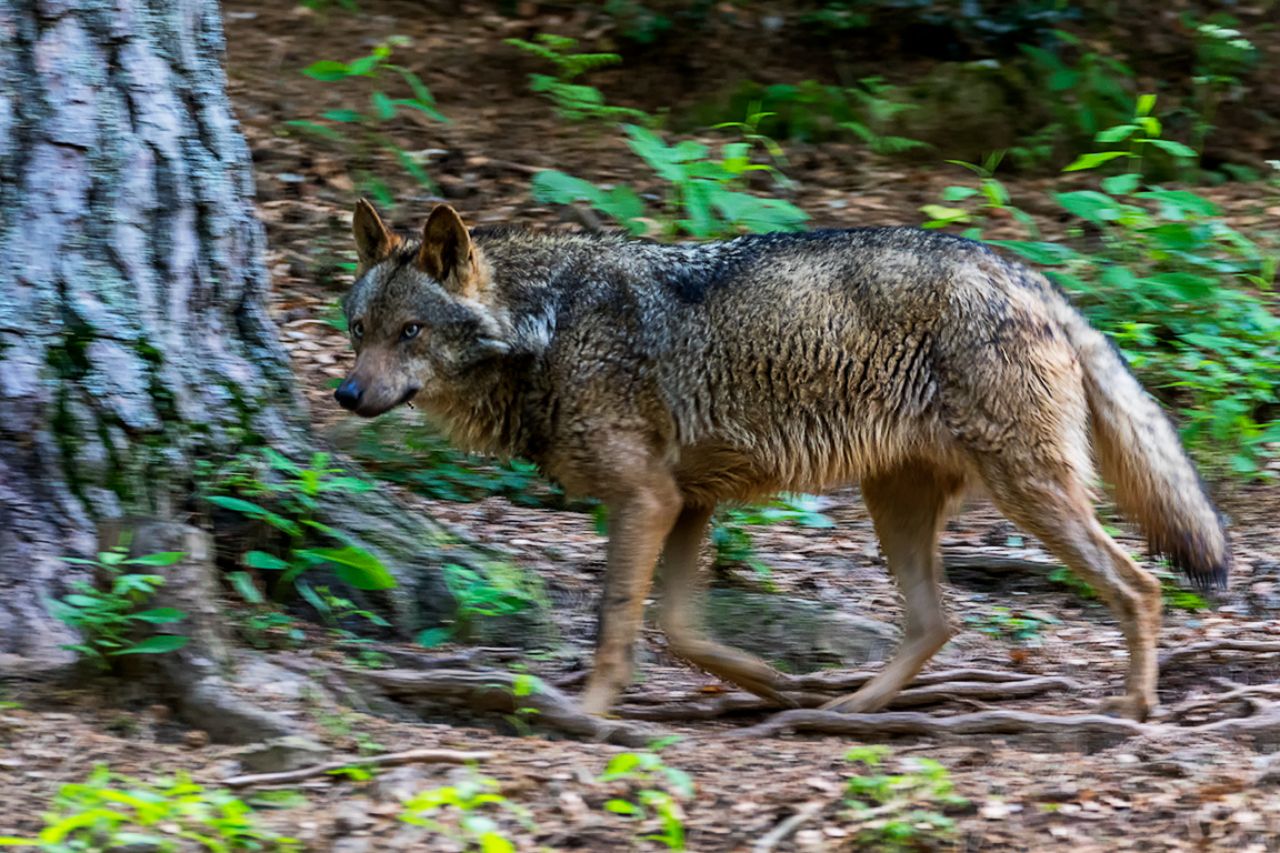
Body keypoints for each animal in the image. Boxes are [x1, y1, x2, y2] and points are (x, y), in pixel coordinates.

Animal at [336, 200, 1230, 721]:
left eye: (410, 332)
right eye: (358, 329)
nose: (346, 393)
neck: (546, 326)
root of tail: (1026, 273)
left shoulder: (646, 501)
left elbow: (617, 619)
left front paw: (588, 711)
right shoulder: (685, 504)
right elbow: (680, 627)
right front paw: (774, 682)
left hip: (1026, 494)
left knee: (1139, 585)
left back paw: (1134, 708)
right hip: (896, 505)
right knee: (937, 621)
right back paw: (842, 710)